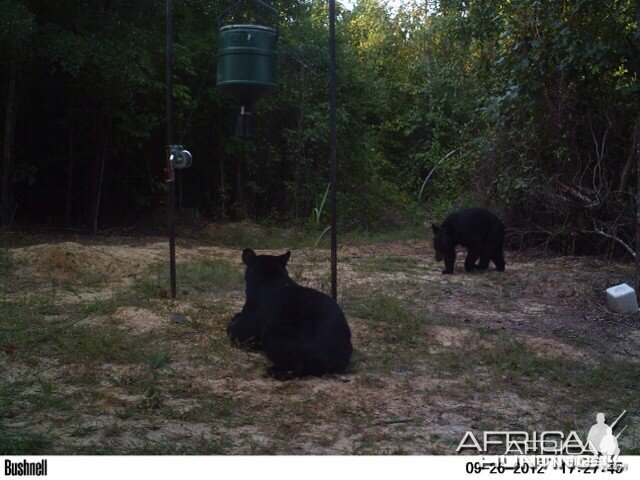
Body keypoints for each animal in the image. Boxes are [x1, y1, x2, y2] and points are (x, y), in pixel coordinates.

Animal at [226, 248, 352, 378]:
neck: (271, 277)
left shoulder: (245, 328)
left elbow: (232, 330)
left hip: (271, 332)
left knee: (296, 367)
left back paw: (273, 371)